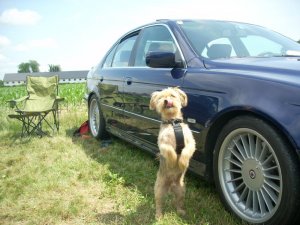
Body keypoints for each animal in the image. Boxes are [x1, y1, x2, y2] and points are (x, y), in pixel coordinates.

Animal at [150, 87, 197, 219]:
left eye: (172, 95)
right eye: (161, 97)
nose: (166, 101)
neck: (173, 123)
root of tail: (171, 185)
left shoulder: (191, 143)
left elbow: (185, 151)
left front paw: (182, 163)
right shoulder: (162, 144)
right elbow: (170, 151)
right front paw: (172, 161)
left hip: (181, 190)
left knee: (178, 202)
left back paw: (181, 211)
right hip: (159, 189)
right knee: (159, 203)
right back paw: (159, 215)